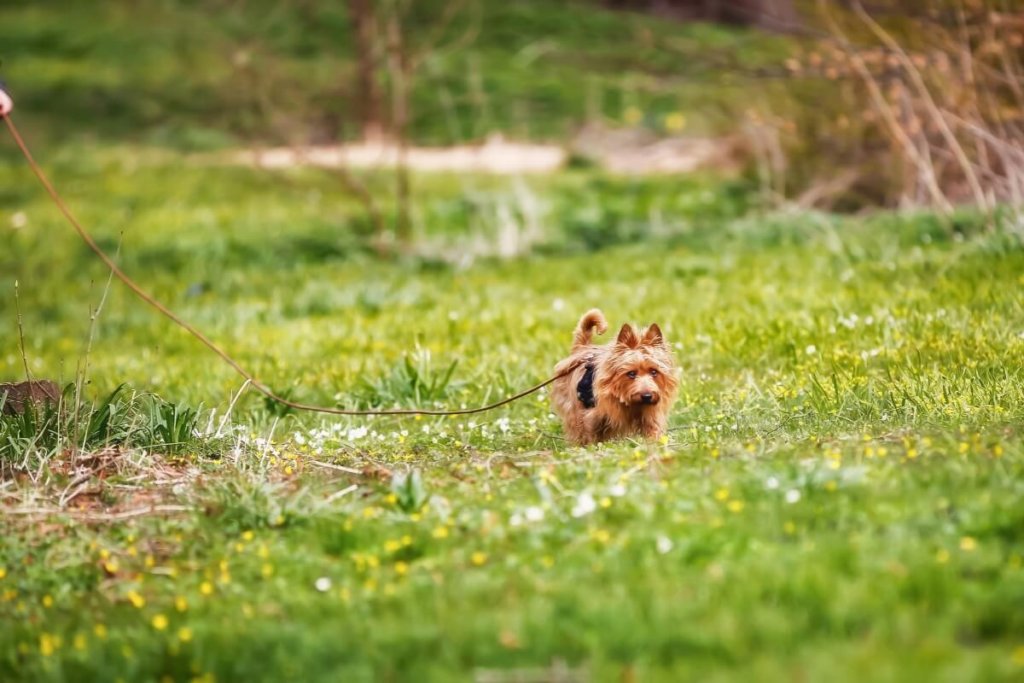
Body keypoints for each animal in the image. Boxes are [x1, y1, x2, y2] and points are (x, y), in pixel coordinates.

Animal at [552, 309, 679, 446]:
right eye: (631, 373)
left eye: (654, 372)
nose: (647, 396)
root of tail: (582, 349)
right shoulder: (591, 416)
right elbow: (590, 433)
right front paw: (591, 448)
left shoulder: (650, 416)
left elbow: (653, 430)